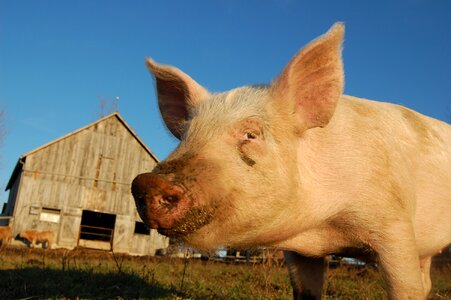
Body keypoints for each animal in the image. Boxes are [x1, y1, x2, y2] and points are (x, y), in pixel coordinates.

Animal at [132, 24, 451, 300]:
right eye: (186, 136)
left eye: (251, 134)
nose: (148, 182)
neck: (321, 229)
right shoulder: (300, 253)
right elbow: (305, 292)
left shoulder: (395, 226)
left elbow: (405, 290)